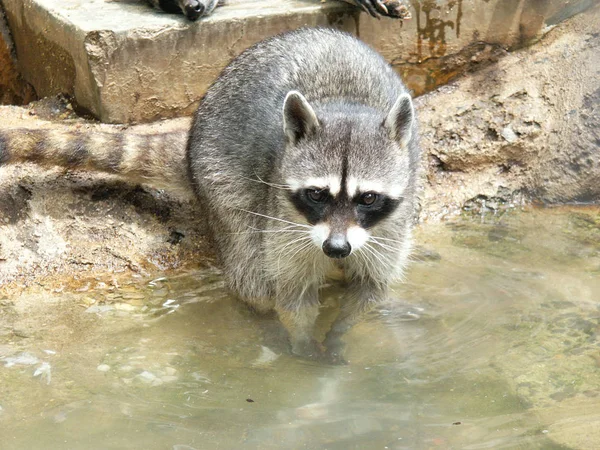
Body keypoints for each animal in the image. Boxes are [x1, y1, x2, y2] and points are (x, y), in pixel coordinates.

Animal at [188, 27, 418, 362]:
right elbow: (292, 293)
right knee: (248, 265)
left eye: (368, 198)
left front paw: (341, 329)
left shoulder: (393, 221)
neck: (345, 105)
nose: (336, 248)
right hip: (217, 172)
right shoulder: (281, 217)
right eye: (317, 195)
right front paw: (302, 337)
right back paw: (263, 317)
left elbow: (370, 288)